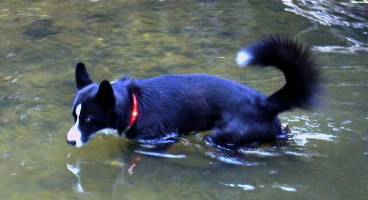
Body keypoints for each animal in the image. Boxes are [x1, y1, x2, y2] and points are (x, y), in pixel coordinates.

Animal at [67, 35, 320, 149]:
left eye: (89, 119)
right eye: (74, 116)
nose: (69, 140)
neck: (134, 103)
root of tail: (266, 103)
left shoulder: (158, 139)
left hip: (221, 135)